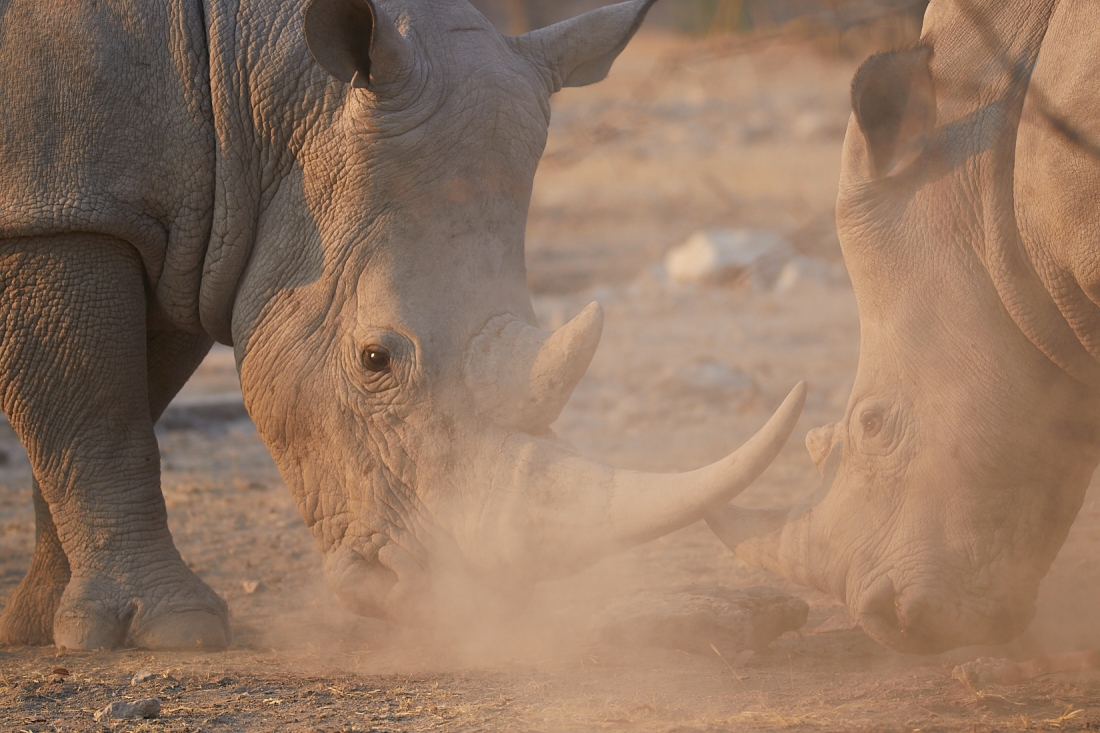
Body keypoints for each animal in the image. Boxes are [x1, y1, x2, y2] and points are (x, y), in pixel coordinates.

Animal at [0, 0, 806, 650]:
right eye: (374, 359)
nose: (464, 604)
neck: (251, 90)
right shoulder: (62, 212)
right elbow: (98, 418)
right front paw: (175, 630)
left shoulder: (183, 220)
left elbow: (104, 410)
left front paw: (42, 625)